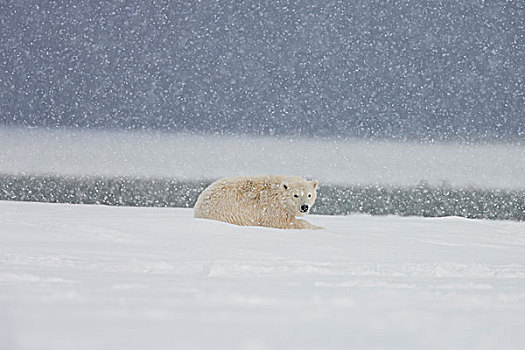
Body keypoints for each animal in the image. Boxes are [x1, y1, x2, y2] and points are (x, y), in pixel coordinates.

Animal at [194, 175, 322, 230]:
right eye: (295, 195)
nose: (304, 207)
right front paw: (320, 228)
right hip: (225, 212)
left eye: (309, 194)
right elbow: (283, 223)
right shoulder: (271, 208)